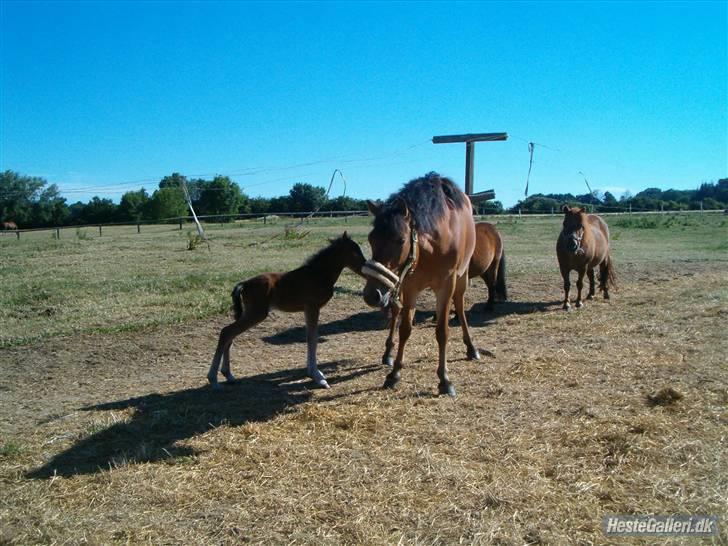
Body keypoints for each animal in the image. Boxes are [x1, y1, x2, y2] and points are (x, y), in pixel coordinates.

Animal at [208, 232, 366, 388]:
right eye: (355, 252)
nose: (366, 267)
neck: (317, 275)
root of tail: (244, 284)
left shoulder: (308, 309)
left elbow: (309, 337)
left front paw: (313, 373)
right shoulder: (312, 307)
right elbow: (312, 338)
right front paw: (317, 376)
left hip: (251, 313)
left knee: (230, 335)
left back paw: (228, 375)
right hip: (256, 313)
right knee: (226, 332)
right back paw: (213, 379)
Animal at [362, 171, 478, 396]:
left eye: (400, 240)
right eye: (371, 238)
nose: (372, 295)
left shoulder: (447, 285)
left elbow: (442, 331)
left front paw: (444, 380)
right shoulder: (409, 285)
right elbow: (405, 329)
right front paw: (394, 374)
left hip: (461, 278)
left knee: (460, 306)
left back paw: (471, 347)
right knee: (396, 312)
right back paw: (388, 353)